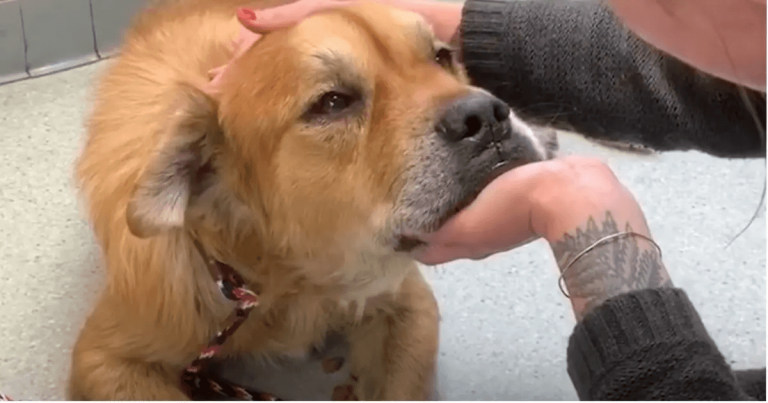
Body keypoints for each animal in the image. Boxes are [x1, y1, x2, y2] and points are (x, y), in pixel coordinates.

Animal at [69, 0, 556, 400]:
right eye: (333, 102)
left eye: (441, 57)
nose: (486, 117)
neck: (287, 281)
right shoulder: (105, 359)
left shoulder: (408, 305)